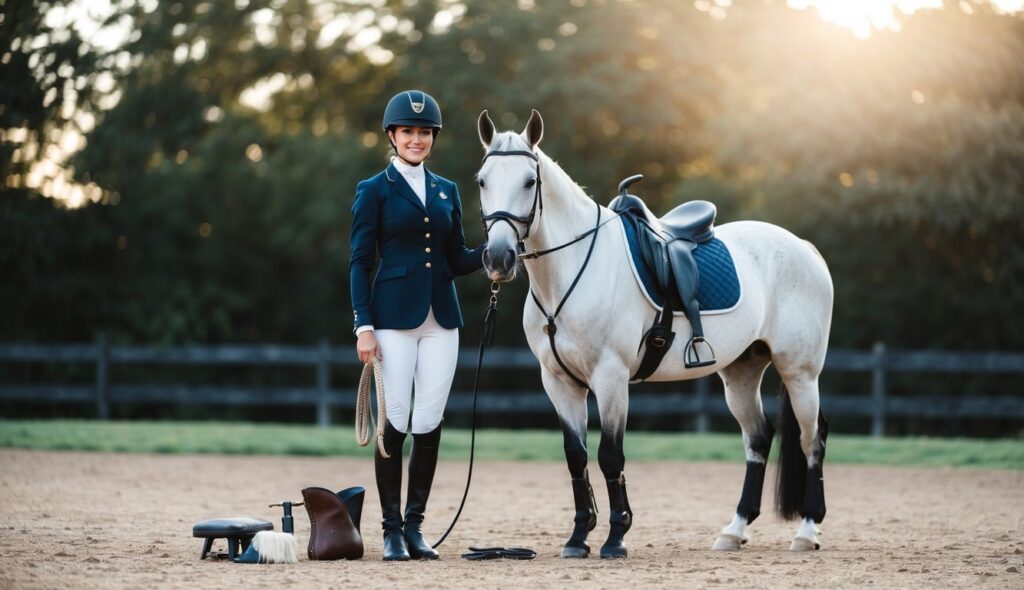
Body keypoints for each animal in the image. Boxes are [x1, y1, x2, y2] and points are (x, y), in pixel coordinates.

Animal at [475, 109, 835, 557]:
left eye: (529, 181)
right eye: (482, 180)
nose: (498, 258)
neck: (572, 270)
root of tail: (805, 248)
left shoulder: (611, 378)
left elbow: (610, 456)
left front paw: (616, 536)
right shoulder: (558, 382)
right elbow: (576, 456)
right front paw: (578, 538)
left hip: (800, 372)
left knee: (811, 439)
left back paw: (807, 530)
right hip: (742, 372)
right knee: (758, 438)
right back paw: (734, 530)